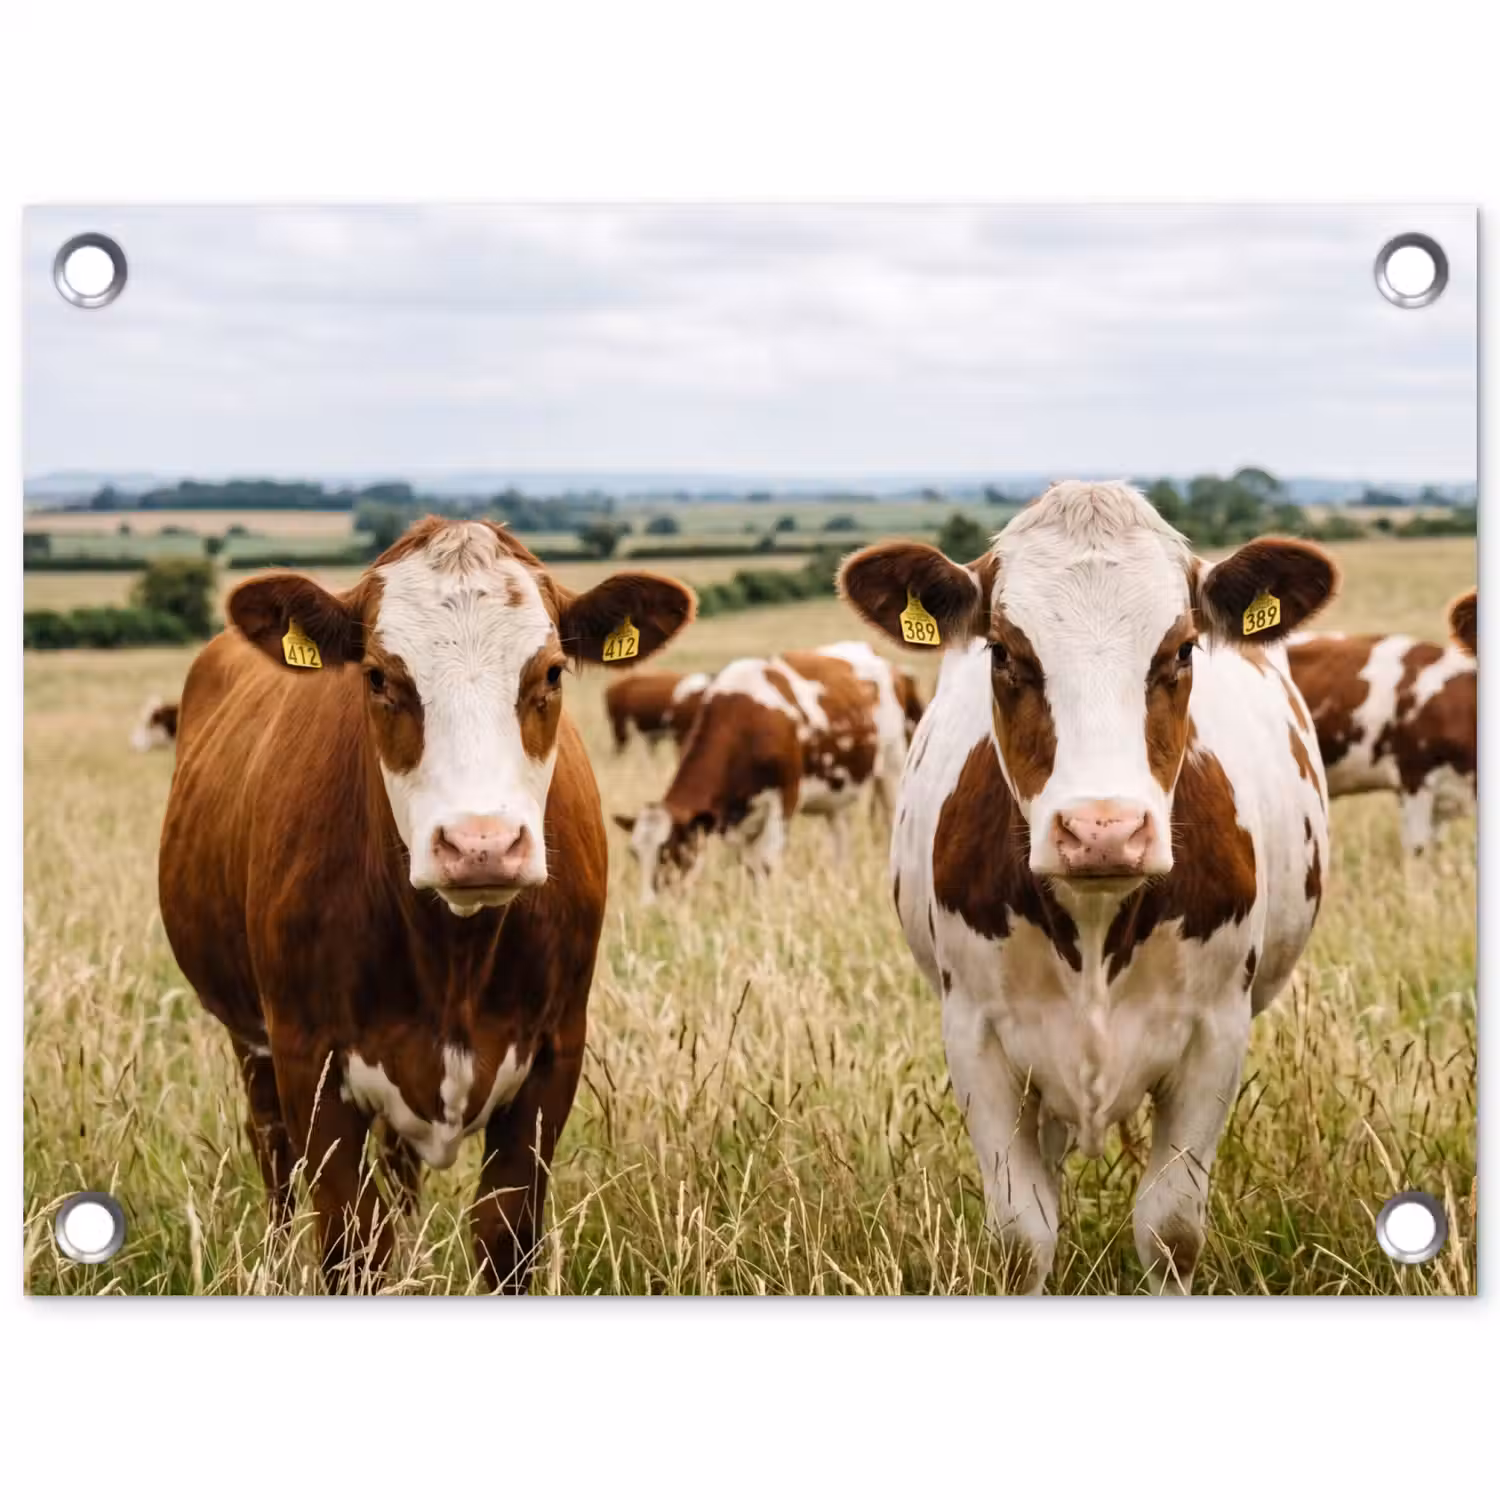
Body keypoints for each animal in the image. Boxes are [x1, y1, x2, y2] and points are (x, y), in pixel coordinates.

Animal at [157, 519, 695, 1291]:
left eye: (551, 673)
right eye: (379, 677)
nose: (480, 844)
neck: (454, 957)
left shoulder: (555, 1054)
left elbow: (504, 1234)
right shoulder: (307, 1061)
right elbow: (351, 1243)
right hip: (252, 1046)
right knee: (276, 1168)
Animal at [614, 640, 914, 899]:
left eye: (669, 851)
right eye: (634, 853)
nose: (649, 908)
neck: (743, 722)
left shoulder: (785, 798)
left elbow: (767, 862)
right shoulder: (738, 817)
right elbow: (750, 865)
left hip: (892, 766)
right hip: (837, 791)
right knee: (841, 840)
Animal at [839, 481, 1336, 1294]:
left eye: (1182, 650)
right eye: (1005, 653)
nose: (1104, 829)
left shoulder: (1217, 1032)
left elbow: (1170, 1229)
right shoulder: (975, 1035)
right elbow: (1022, 1235)